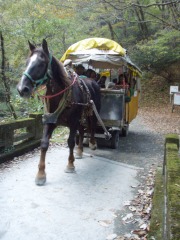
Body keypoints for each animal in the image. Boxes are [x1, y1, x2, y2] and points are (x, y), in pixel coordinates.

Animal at [16, 39, 101, 186]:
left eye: (41, 63)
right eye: (27, 62)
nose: (22, 89)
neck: (62, 95)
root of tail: (92, 81)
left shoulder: (73, 122)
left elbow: (70, 142)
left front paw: (70, 165)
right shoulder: (49, 121)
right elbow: (44, 144)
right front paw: (41, 174)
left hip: (92, 112)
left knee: (92, 126)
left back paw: (92, 143)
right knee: (82, 130)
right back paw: (80, 151)